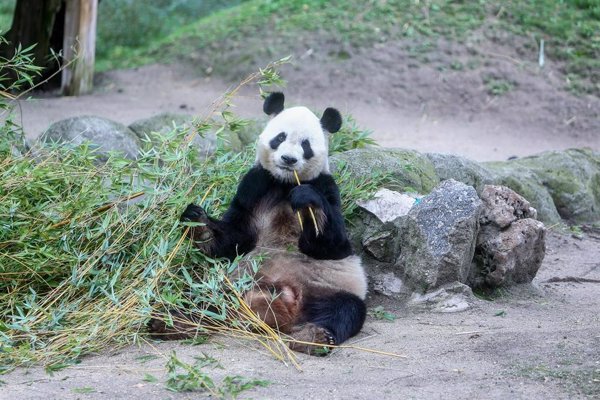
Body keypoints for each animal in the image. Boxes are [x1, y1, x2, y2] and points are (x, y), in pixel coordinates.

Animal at [151, 94, 366, 356]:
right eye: (280, 137)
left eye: (305, 145)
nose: (288, 159)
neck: (284, 183)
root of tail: (283, 305)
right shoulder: (255, 185)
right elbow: (234, 236)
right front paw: (198, 222)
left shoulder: (326, 186)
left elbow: (332, 244)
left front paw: (306, 202)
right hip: (231, 284)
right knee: (203, 298)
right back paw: (171, 321)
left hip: (329, 290)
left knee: (344, 310)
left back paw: (313, 337)